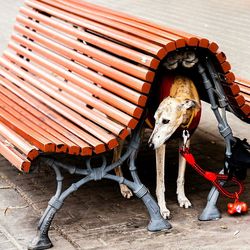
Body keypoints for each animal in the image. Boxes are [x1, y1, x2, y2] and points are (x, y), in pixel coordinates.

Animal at [113, 51, 201, 219]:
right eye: (155, 119)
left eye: (166, 121)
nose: (150, 145)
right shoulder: (161, 146)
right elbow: (160, 181)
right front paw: (163, 208)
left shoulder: (185, 141)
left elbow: (181, 176)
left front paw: (182, 198)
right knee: (116, 160)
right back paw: (124, 188)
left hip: (139, 133)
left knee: (129, 160)